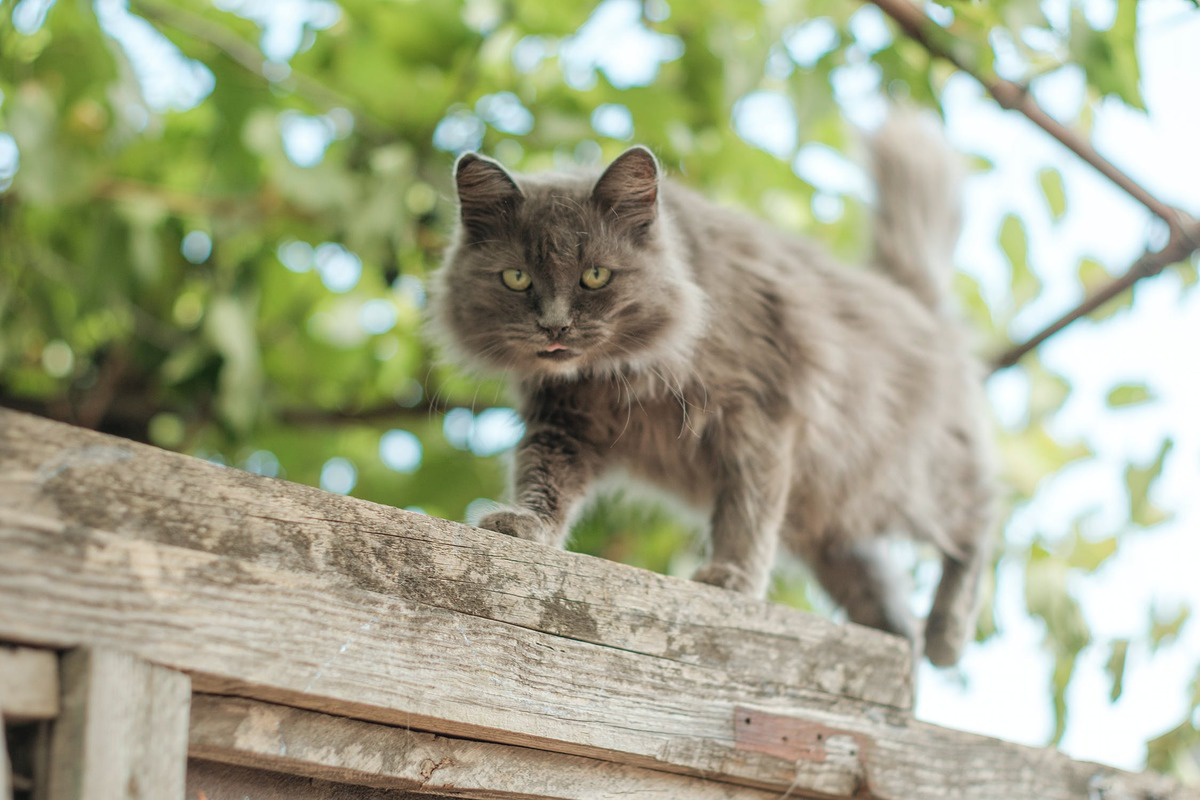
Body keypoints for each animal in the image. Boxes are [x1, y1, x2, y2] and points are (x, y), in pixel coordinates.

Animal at [432, 110, 993, 662]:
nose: (554, 327)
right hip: (835, 520)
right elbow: (543, 477)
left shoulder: (759, 413)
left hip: (907, 482)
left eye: (594, 276)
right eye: (517, 279)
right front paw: (526, 526)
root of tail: (909, 295)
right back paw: (898, 635)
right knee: (876, 575)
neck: (622, 371)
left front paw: (732, 579)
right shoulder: (565, 422)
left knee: (982, 521)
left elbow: (746, 510)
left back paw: (945, 634)